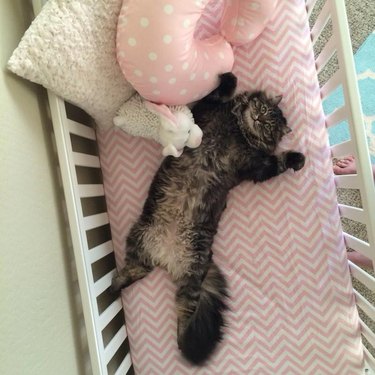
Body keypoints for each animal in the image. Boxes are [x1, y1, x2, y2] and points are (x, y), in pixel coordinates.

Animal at [111, 72, 306, 366]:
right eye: (262, 110)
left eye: (270, 125)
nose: (259, 118)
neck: (238, 129)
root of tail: (165, 257)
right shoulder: (207, 110)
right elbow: (221, 91)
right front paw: (228, 76)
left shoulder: (256, 166)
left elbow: (279, 161)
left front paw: (297, 158)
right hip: (140, 239)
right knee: (134, 274)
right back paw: (111, 289)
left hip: (189, 273)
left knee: (182, 309)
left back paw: (185, 344)